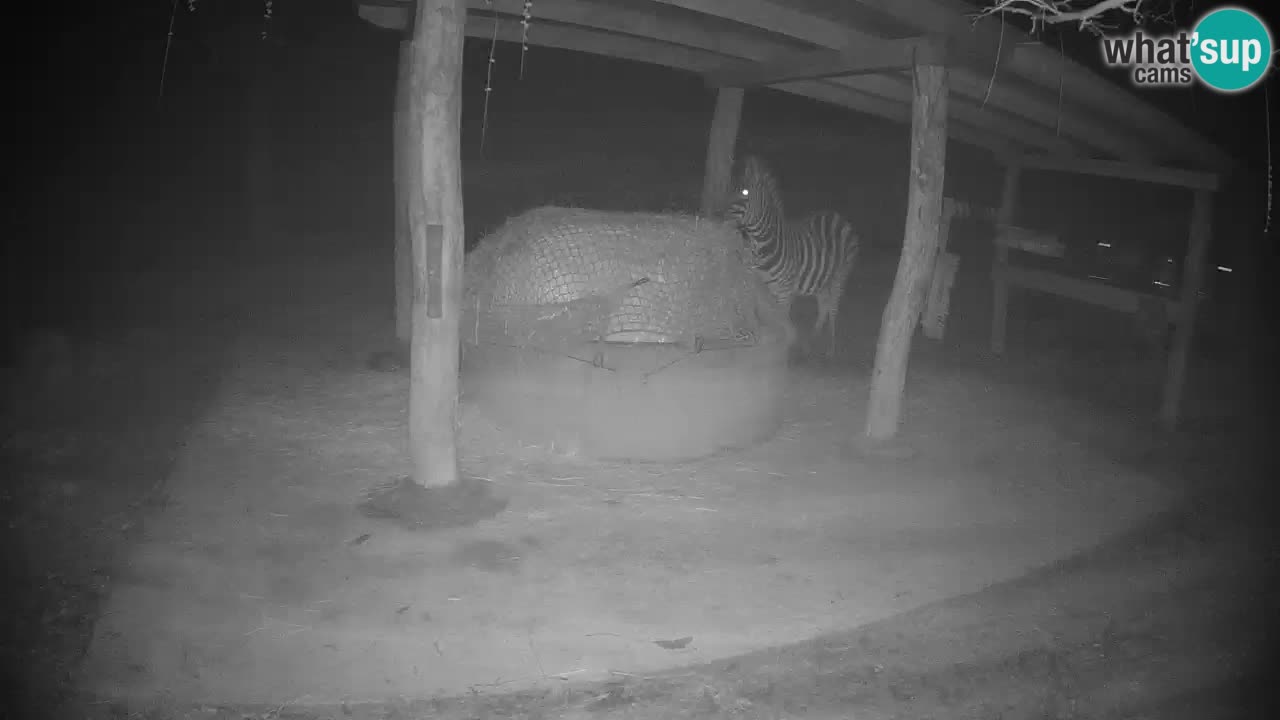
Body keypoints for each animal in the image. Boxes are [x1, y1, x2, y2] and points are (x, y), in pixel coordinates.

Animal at [726, 155, 863, 358]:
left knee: (833, 307)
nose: (720, 216)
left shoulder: (784, 290)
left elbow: (781, 318)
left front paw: (782, 349)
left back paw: (830, 348)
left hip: (841, 274)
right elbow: (764, 313)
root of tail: (837, 216)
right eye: (731, 188)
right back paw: (810, 344)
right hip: (821, 278)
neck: (763, 245)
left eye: (745, 192)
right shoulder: (763, 284)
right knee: (823, 306)